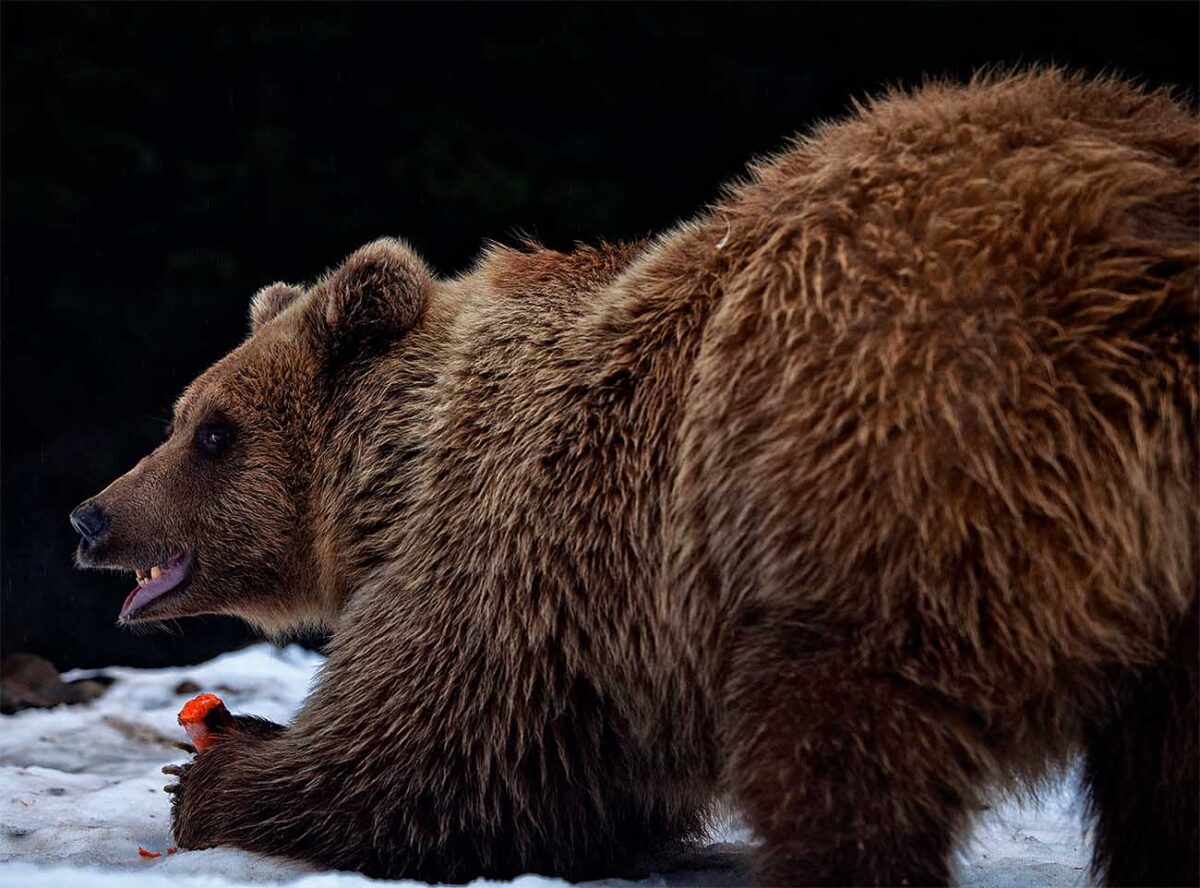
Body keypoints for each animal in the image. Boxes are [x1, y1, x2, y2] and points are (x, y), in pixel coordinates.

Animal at [70, 71, 1195, 888]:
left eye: (212, 432)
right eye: (182, 418)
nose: (91, 517)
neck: (386, 483)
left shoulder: (516, 539)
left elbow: (426, 754)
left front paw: (212, 768)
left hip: (888, 461)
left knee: (842, 731)